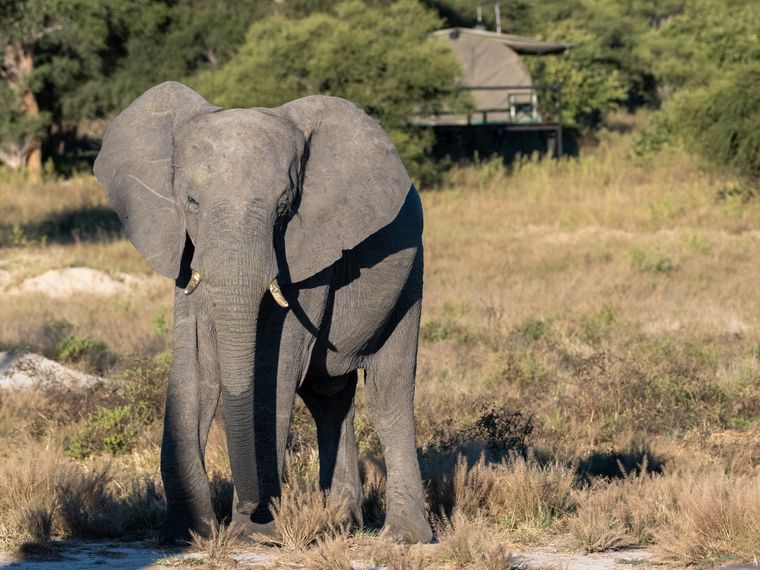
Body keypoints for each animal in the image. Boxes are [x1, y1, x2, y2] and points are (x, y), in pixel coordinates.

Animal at [93, 81, 432, 544]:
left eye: (285, 207)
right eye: (191, 202)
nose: (251, 507)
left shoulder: (311, 252)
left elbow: (276, 366)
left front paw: (253, 536)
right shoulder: (185, 249)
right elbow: (195, 367)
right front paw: (187, 536)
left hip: (409, 278)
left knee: (388, 391)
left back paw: (403, 537)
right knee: (329, 398)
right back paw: (341, 524)